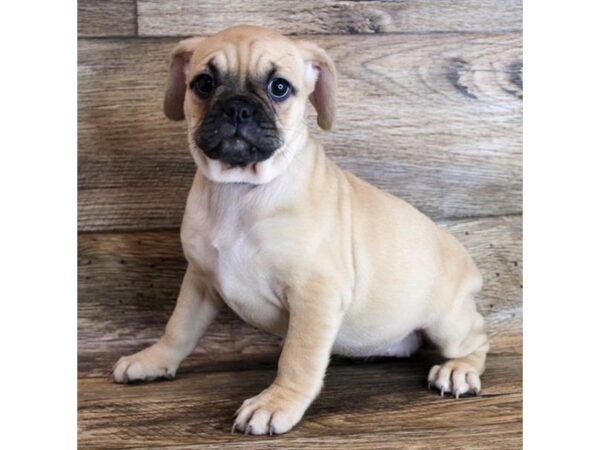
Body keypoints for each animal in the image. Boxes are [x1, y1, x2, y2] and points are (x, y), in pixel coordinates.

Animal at [111, 24, 488, 436]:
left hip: (447, 321)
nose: (237, 107)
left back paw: (459, 371)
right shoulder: (199, 281)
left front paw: (277, 402)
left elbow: (298, 357)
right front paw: (154, 359)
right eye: (204, 84)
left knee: (477, 337)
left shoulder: (314, 295)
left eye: (279, 87)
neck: (240, 190)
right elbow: (179, 326)